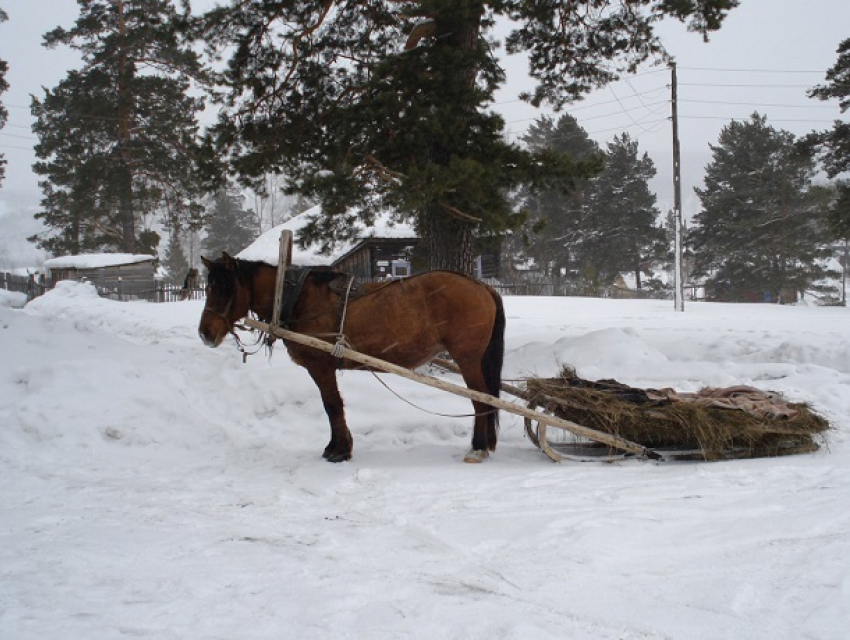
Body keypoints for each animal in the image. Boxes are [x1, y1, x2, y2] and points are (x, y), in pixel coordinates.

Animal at [197, 255, 504, 464]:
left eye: (225, 288)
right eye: (208, 287)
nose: (205, 333)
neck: (296, 297)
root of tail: (481, 286)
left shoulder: (320, 366)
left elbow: (332, 405)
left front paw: (340, 450)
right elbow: (332, 406)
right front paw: (336, 446)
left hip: (467, 357)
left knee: (481, 399)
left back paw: (478, 447)